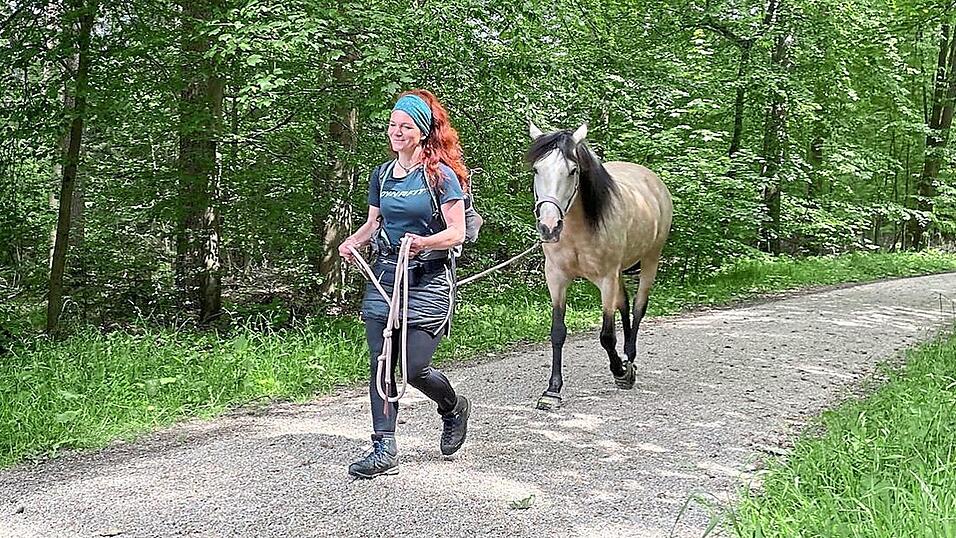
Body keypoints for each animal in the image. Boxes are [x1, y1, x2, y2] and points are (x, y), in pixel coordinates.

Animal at [526, 122, 673, 410]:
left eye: (573, 171)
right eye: (537, 169)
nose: (549, 227)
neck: (577, 232)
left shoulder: (606, 278)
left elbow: (606, 335)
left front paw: (620, 371)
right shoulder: (556, 278)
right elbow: (558, 332)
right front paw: (552, 390)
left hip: (650, 260)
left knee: (638, 309)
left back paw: (629, 359)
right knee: (625, 306)